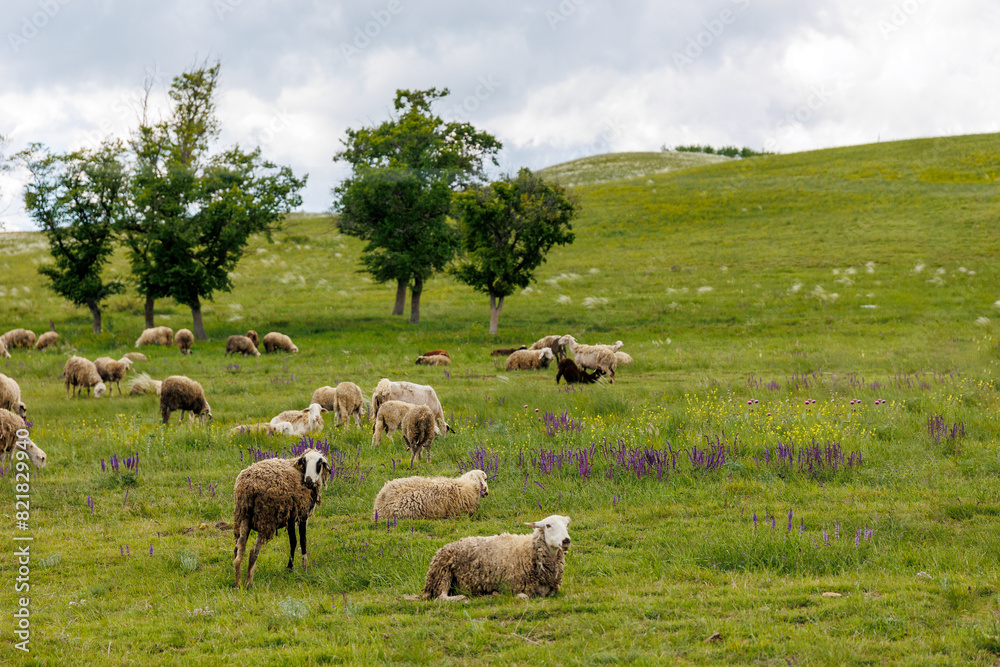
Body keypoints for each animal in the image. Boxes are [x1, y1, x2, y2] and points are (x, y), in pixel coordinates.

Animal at [232, 448, 331, 589]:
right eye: (304, 461)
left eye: (319, 463)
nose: (308, 481)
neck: (300, 471)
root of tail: (249, 487)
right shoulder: (302, 514)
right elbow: (302, 541)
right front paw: (303, 567)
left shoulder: (290, 516)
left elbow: (293, 541)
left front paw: (290, 567)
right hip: (266, 519)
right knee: (253, 552)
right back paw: (248, 583)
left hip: (243, 517)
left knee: (238, 551)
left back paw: (238, 583)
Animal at [405, 515, 572, 602]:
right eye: (548, 525)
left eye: (566, 525)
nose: (566, 540)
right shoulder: (511, 586)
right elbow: (523, 596)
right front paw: (496, 594)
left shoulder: (551, 590)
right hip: (443, 574)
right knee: (441, 597)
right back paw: (461, 597)